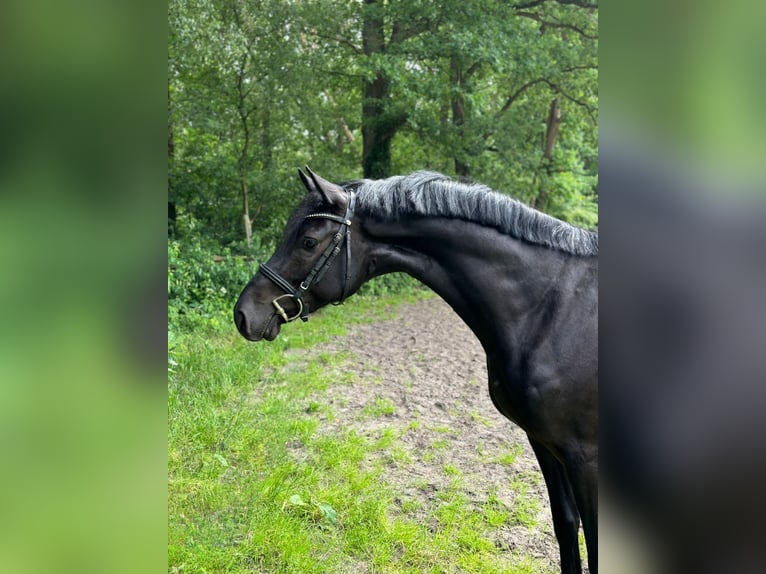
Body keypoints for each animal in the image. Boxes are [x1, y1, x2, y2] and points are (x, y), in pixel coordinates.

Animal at [234, 169, 600, 572]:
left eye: (309, 241)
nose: (243, 314)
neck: (549, 311)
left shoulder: (585, 456)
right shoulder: (543, 443)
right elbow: (565, 526)